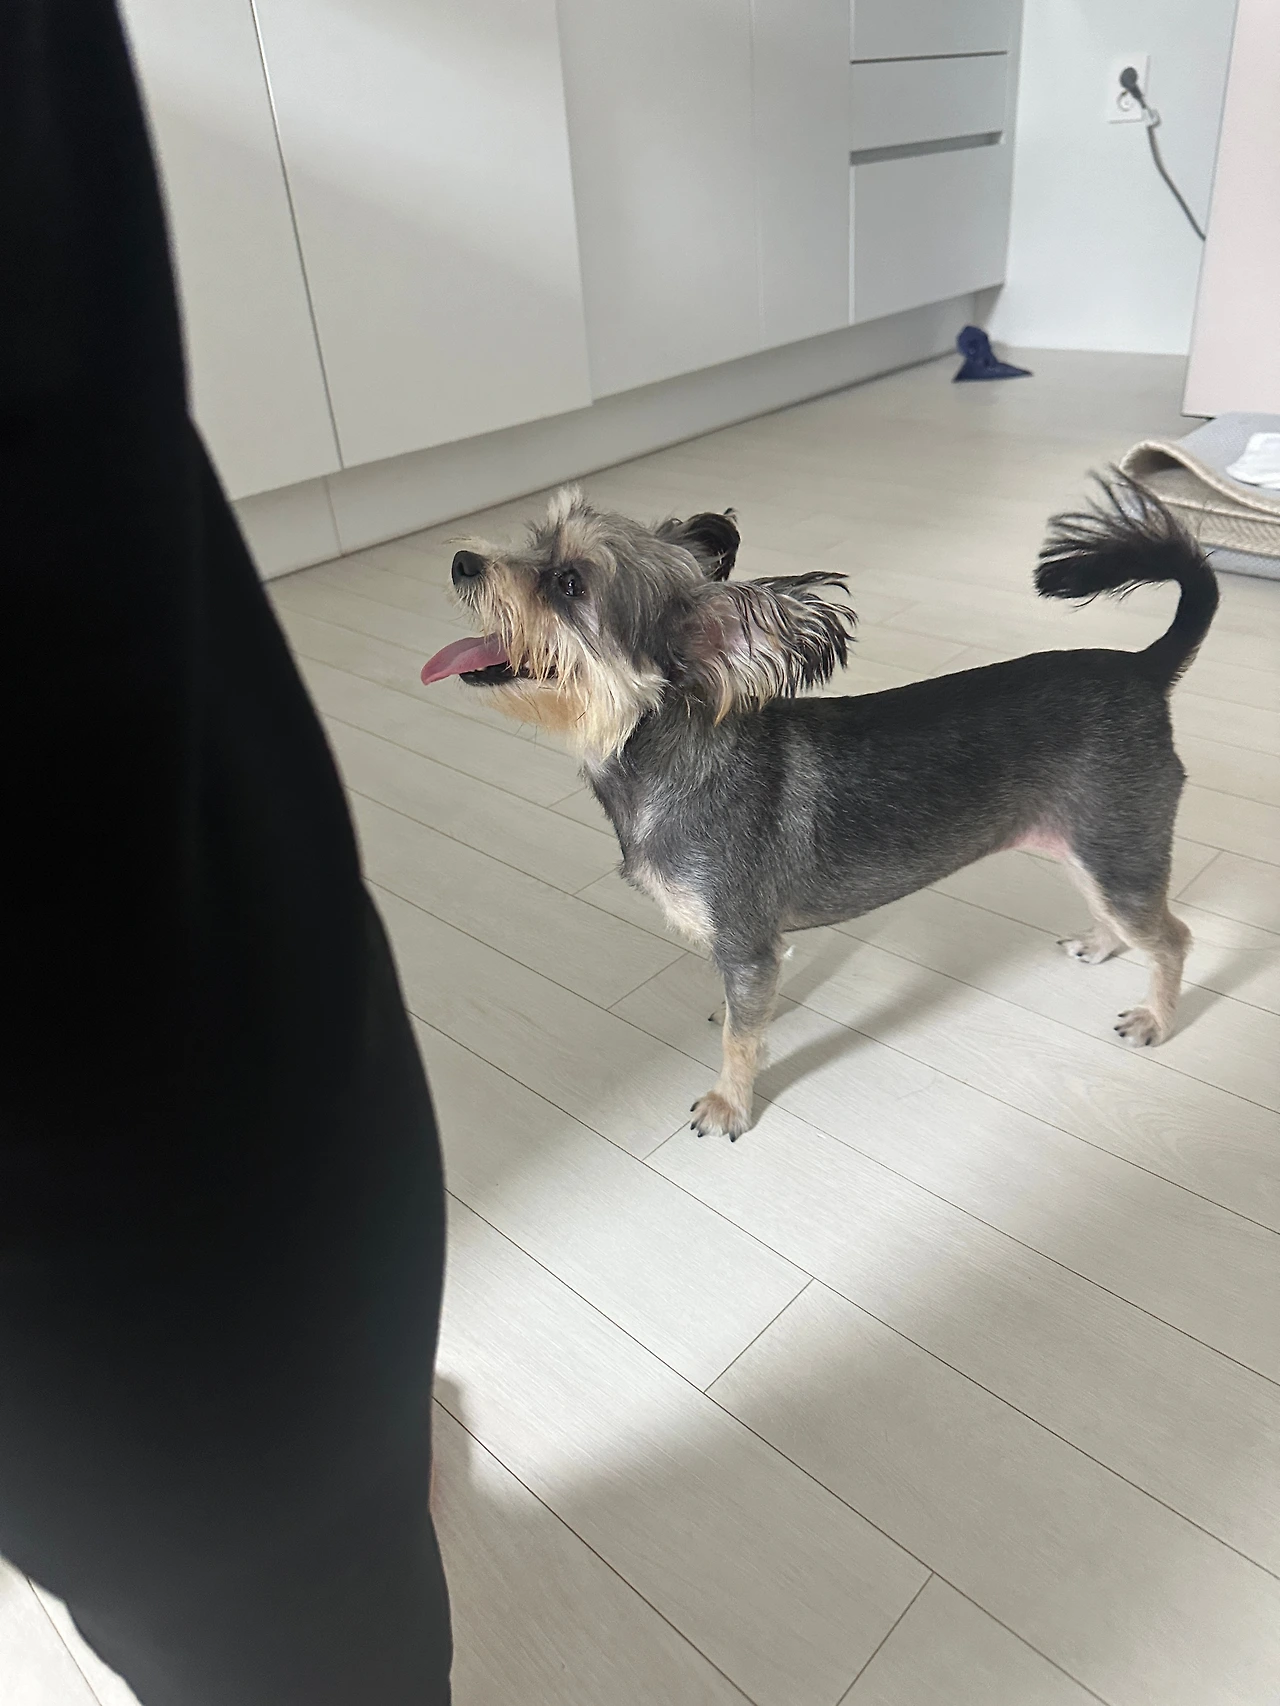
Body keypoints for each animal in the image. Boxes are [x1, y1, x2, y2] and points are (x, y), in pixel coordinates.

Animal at [420, 477, 1218, 1139]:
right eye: (534, 539)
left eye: (568, 582)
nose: (460, 560)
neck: (657, 756)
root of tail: (1145, 668)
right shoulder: (754, 952)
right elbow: (745, 1011)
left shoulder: (746, 941)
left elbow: (741, 1038)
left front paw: (729, 1104)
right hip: (1089, 844)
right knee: (1126, 916)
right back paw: (1102, 943)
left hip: (1118, 842)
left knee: (1173, 936)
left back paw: (1155, 1018)